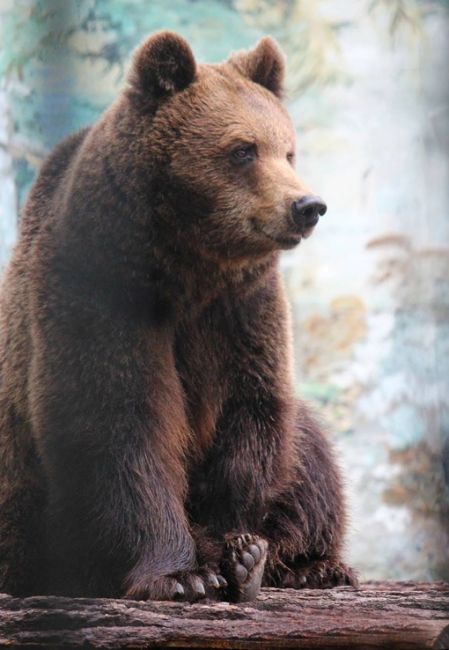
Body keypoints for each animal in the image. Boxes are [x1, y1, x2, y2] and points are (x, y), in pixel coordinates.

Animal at [0, 29, 356, 596]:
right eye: (243, 149)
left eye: (288, 150)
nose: (308, 206)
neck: (186, 271)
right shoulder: (99, 293)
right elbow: (121, 425)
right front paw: (184, 573)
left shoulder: (243, 310)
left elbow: (252, 415)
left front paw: (240, 550)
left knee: (312, 457)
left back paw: (311, 564)